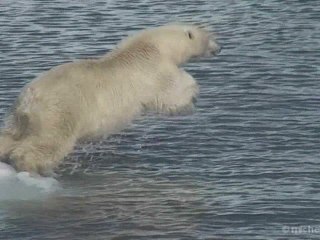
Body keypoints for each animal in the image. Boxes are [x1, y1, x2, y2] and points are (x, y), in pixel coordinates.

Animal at [0, 23, 220, 174]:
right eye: (209, 36)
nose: (219, 48)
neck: (154, 45)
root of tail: (30, 97)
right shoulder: (155, 72)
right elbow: (172, 92)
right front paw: (192, 92)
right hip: (60, 112)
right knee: (48, 142)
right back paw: (31, 165)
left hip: (18, 116)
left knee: (11, 135)